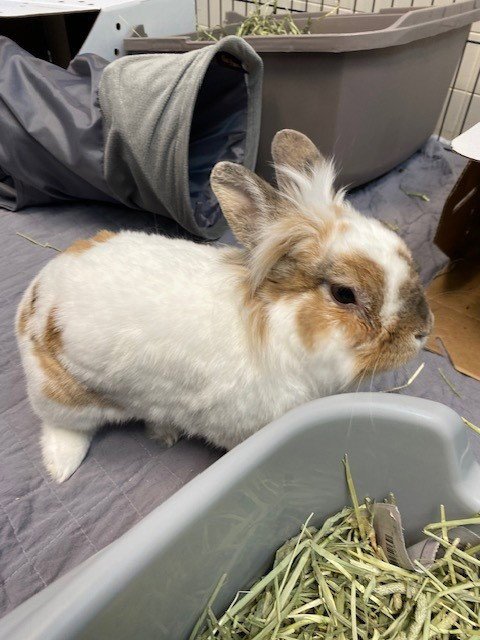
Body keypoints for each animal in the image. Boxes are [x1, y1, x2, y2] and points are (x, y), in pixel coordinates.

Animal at [16, 130, 433, 483]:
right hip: (66, 398)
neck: (279, 326)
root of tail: (35, 295)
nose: (423, 331)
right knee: (60, 426)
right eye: (345, 294)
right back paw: (61, 467)